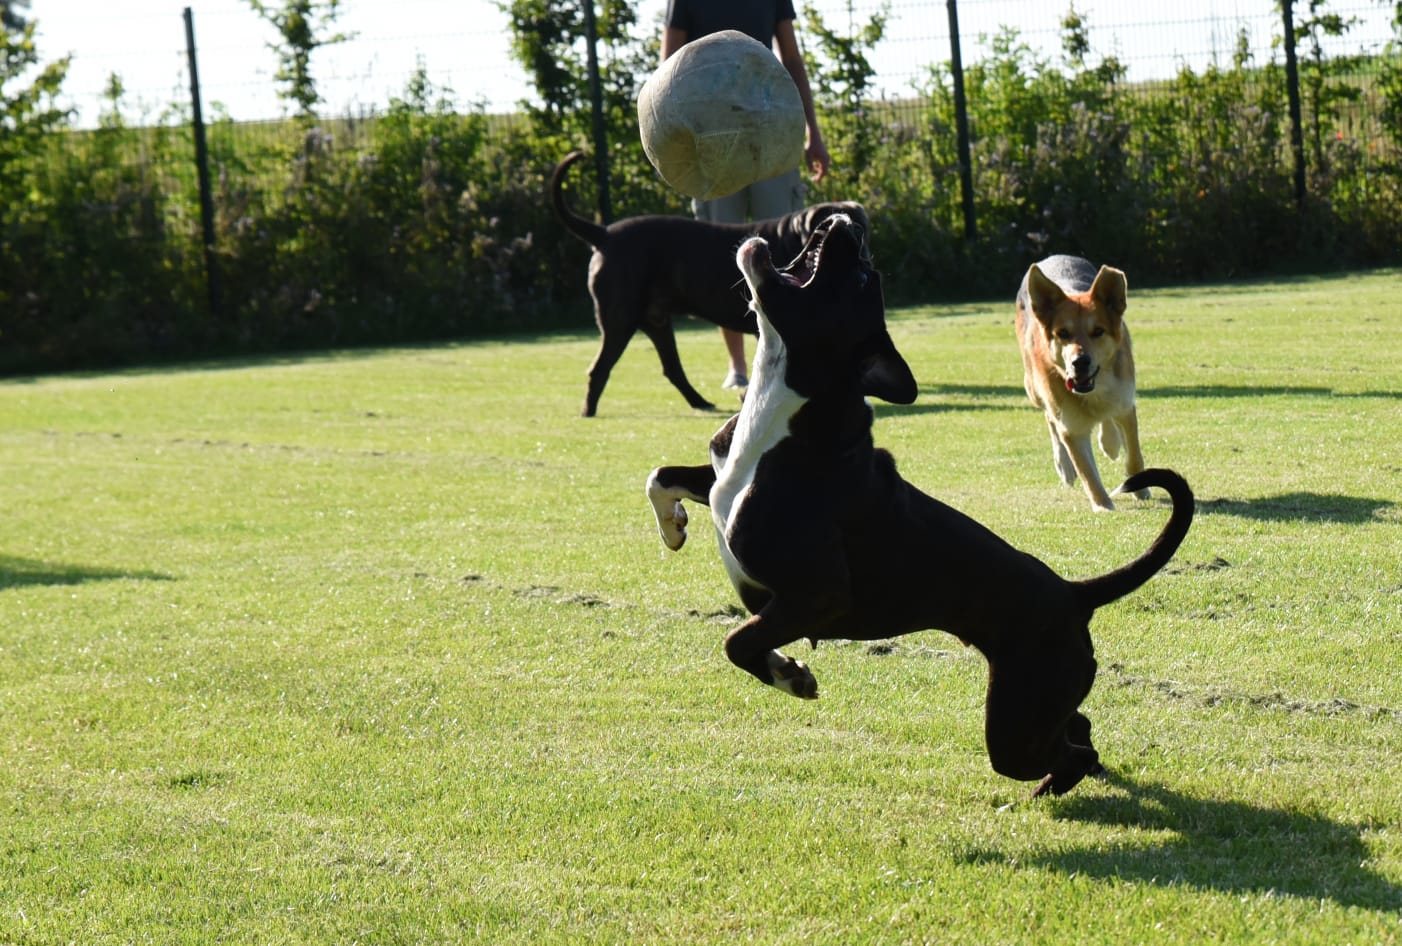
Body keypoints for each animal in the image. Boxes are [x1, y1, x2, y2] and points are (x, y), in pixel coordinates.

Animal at [546, 149, 863, 417]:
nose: (856, 233)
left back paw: (701, 402)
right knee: (599, 369)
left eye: (862, 223)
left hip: (656, 322)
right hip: (619, 320)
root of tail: (604, 234)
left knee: (672, 368)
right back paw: (588, 411)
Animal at [1020, 253, 1149, 510]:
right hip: (1033, 388)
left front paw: (1140, 488)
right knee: (1050, 418)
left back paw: (1110, 442)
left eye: (1098, 331)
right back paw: (1064, 465)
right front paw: (1103, 507)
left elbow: (1134, 456)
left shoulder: (1125, 403)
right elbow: (1088, 473)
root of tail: (1055, 256)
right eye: (1063, 333)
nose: (1079, 362)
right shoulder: (1072, 426)